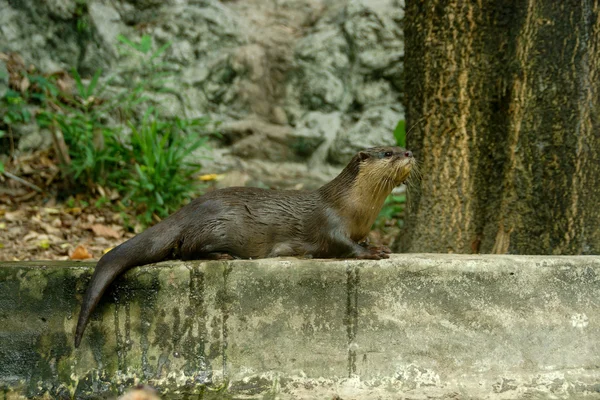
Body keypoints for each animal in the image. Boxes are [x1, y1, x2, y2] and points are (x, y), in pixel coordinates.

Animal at [75, 147, 412, 346]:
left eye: (400, 148)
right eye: (387, 152)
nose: (409, 151)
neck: (354, 207)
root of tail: (188, 209)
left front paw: (373, 242)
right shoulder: (329, 223)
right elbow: (342, 246)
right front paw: (374, 251)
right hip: (220, 225)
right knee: (185, 249)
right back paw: (222, 255)